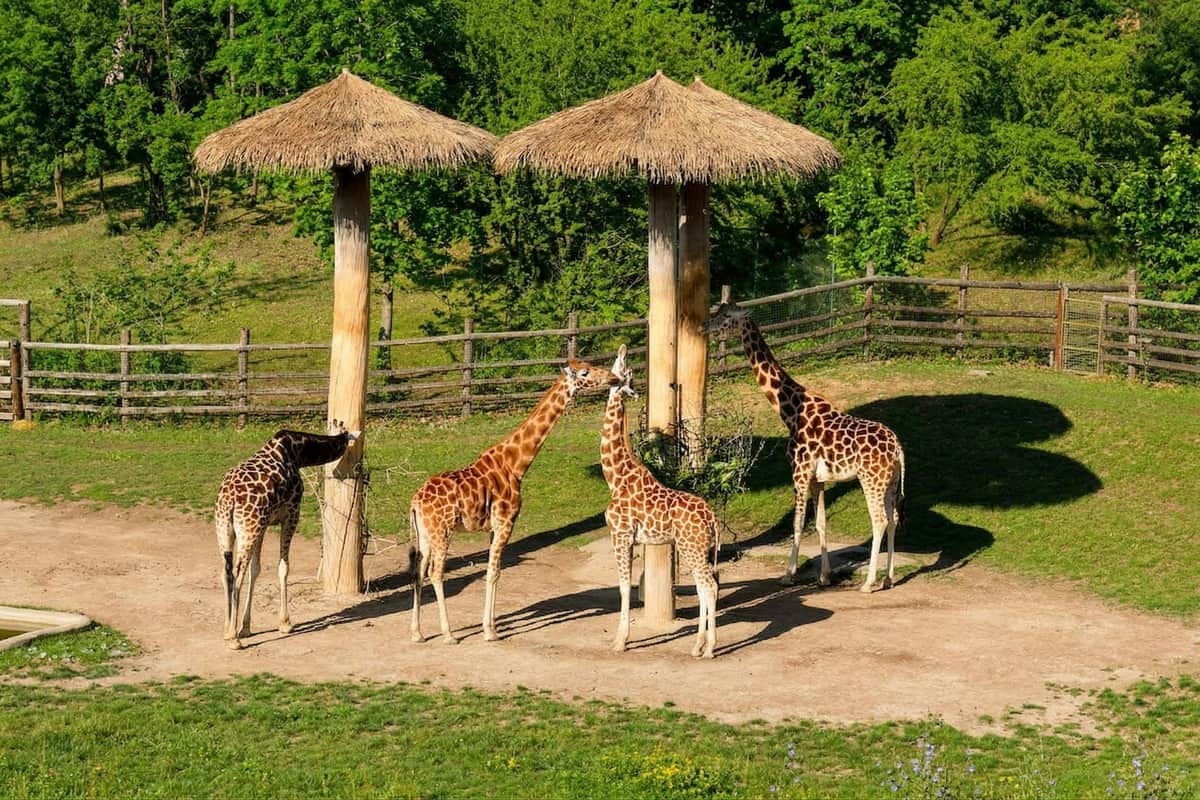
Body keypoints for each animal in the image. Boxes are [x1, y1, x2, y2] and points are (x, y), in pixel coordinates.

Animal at [215, 420, 358, 649]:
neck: (299, 453)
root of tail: (229, 498)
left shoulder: (263, 524)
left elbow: (256, 569)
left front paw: (246, 627)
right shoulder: (291, 514)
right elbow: (283, 567)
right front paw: (285, 623)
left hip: (226, 528)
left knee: (225, 572)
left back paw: (228, 630)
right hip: (248, 526)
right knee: (236, 574)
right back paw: (233, 638)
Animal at [409, 358, 621, 644]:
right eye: (585, 372)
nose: (613, 378)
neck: (515, 465)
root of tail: (415, 501)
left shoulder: (493, 527)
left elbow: (492, 570)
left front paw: (489, 627)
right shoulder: (506, 522)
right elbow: (494, 572)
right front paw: (490, 632)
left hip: (424, 533)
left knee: (418, 572)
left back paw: (417, 633)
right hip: (442, 530)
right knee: (435, 572)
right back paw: (449, 634)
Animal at [601, 345, 719, 658]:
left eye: (620, 367)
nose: (622, 348)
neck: (614, 476)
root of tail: (712, 517)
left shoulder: (620, 534)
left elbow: (623, 587)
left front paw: (620, 642)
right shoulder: (632, 539)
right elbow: (627, 586)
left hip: (692, 547)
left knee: (709, 586)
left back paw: (710, 648)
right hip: (697, 549)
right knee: (704, 587)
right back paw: (698, 645)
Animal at [703, 303, 906, 592]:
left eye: (726, 316)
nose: (704, 326)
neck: (789, 410)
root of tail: (898, 447)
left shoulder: (799, 473)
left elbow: (797, 524)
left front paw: (788, 575)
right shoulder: (817, 479)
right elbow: (820, 523)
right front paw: (824, 577)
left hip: (871, 479)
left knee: (880, 520)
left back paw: (869, 583)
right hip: (890, 482)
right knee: (894, 520)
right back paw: (888, 578)